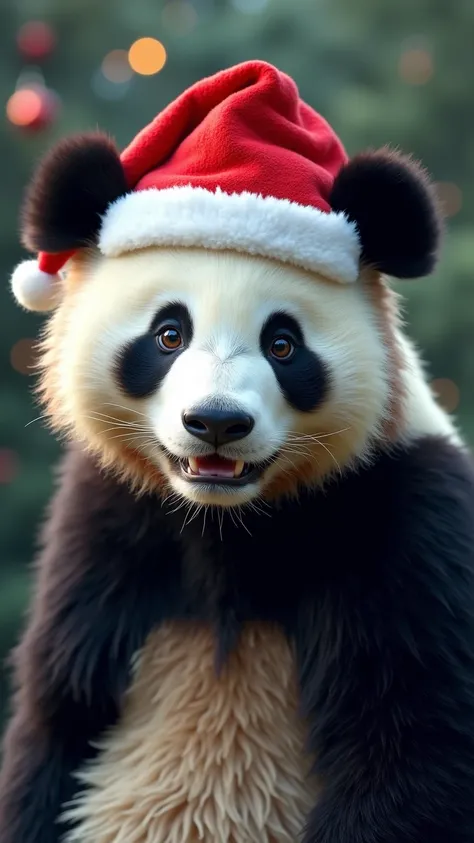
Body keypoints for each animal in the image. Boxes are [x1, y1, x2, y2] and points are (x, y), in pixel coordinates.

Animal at [0, 59, 474, 843]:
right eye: (169, 334)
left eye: (283, 344)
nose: (216, 422)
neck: (228, 522)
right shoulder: (103, 531)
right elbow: (57, 719)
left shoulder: (406, 523)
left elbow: (412, 749)